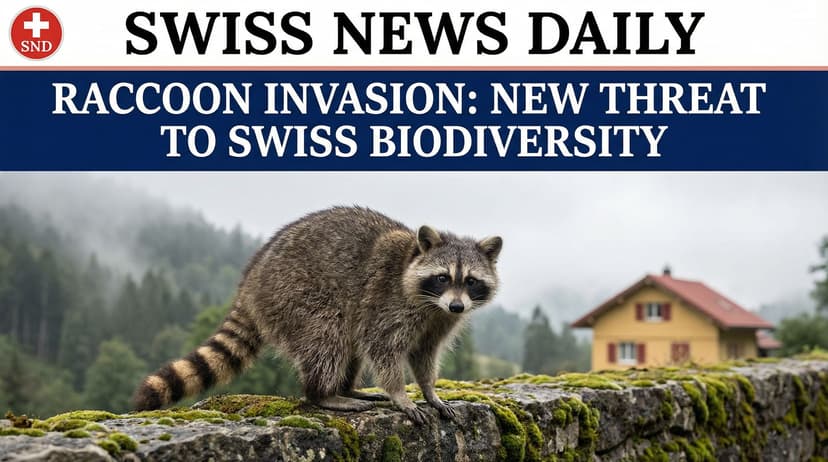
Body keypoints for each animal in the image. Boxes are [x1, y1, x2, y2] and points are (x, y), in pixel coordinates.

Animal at [132, 206, 502, 424]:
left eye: (470, 281)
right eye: (442, 278)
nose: (457, 306)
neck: (431, 303)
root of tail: (251, 279)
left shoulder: (439, 321)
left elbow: (425, 354)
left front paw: (428, 390)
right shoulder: (388, 303)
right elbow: (383, 349)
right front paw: (400, 393)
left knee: (348, 345)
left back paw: (347, 388)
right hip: (295, 295)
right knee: (327, 337)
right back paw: (323, 393)